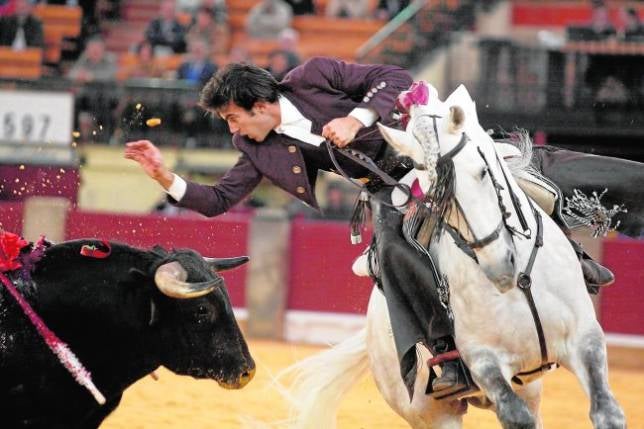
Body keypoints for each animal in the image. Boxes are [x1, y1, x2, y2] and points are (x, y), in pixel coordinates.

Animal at [282, 84, 624, 428]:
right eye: (435, 196)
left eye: (484, 171)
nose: (499, 267)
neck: (519, 284)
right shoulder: (482, 358)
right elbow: (516, 415)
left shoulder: (585, 336)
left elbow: (607, 413)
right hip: (430, 411)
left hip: (530, 388)